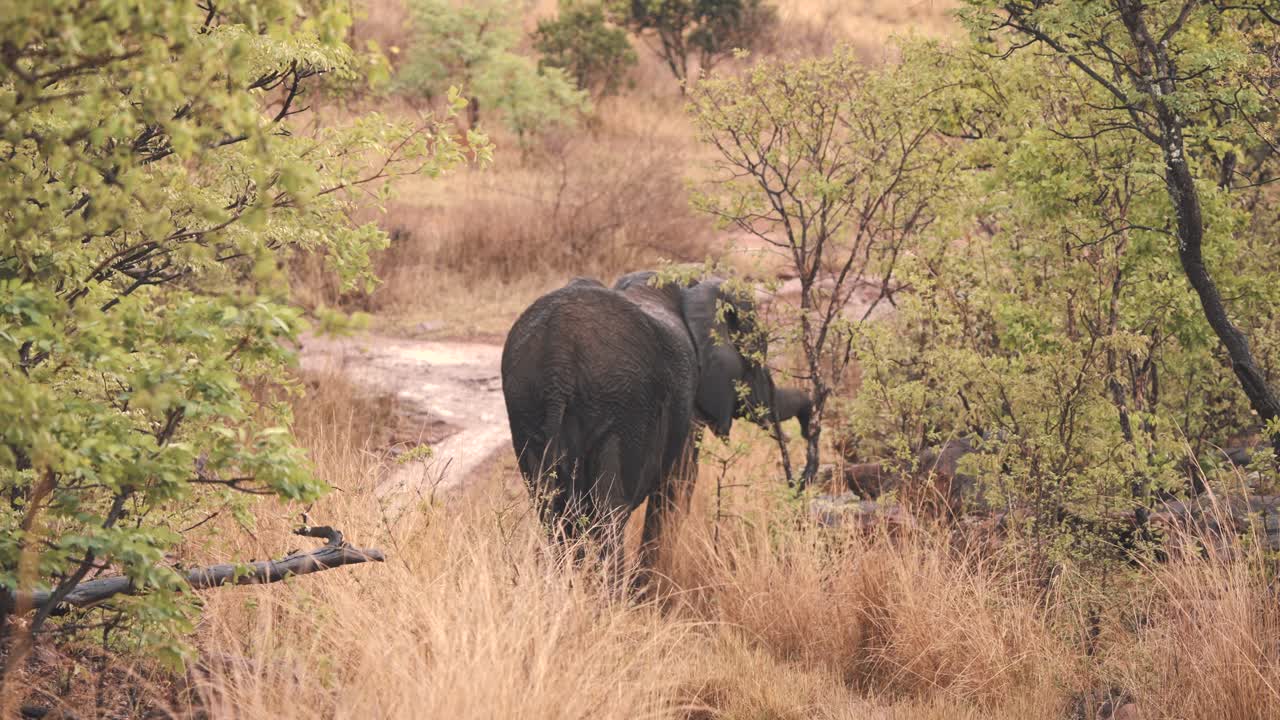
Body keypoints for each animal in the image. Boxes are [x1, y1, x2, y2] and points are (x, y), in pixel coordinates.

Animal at [500, 270, 796, 577]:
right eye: (758, 354)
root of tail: (558, 359)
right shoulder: (687, 403)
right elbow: (678, 484)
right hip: (622, 409)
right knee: (608, 515)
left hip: (527, 410)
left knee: (552, 513)